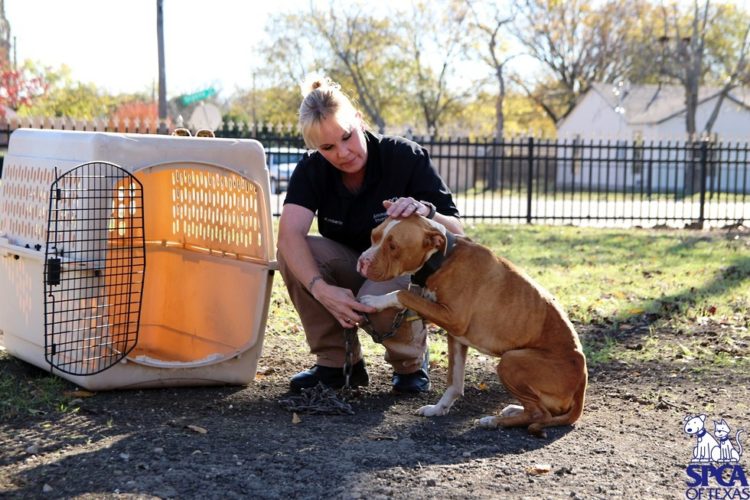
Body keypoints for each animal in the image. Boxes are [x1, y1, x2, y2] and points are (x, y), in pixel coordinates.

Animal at [356, 217, 588, 436]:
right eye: (373, 236)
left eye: (393, 246)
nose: (362, 262)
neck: (442, 259)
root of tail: (582, 383)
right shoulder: (455, 337)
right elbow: (454, 383)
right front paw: (438, 409)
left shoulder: (452, 318)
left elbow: (402, 294)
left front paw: (376, 301)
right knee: (543, 410)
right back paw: (513, 409)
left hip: (510, 361)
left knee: (539, 414)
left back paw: (494, 421)